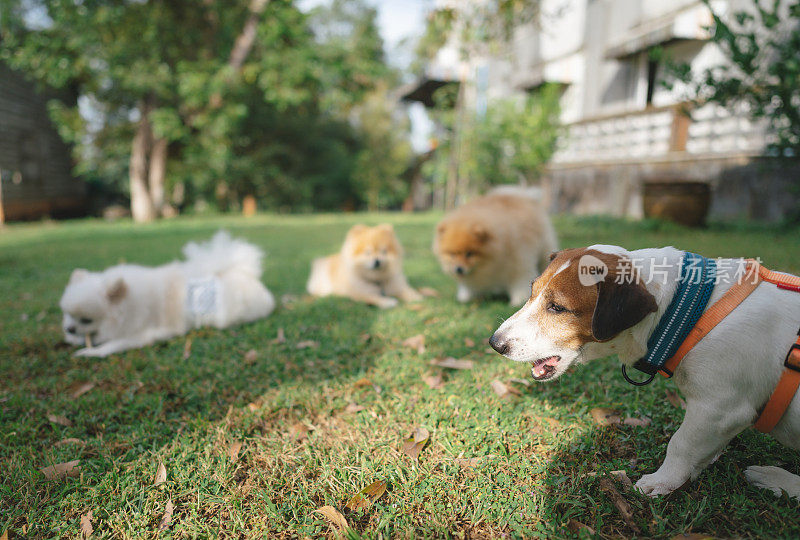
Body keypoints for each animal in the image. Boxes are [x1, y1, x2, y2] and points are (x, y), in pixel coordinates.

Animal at [59, 230, 276, 356]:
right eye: (68, 315)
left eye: (86, 320)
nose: (69, 329)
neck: (130, 304)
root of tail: (244, 274)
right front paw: (74, 341)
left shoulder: (142, 334)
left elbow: (111, 345)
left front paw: (90, 352)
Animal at [488, 245, 800, 498]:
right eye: (532, 293)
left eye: (557, 307)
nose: (495, 343)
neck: (686, 312)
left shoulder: (720, 407)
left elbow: (682, 443)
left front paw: (664, 481)